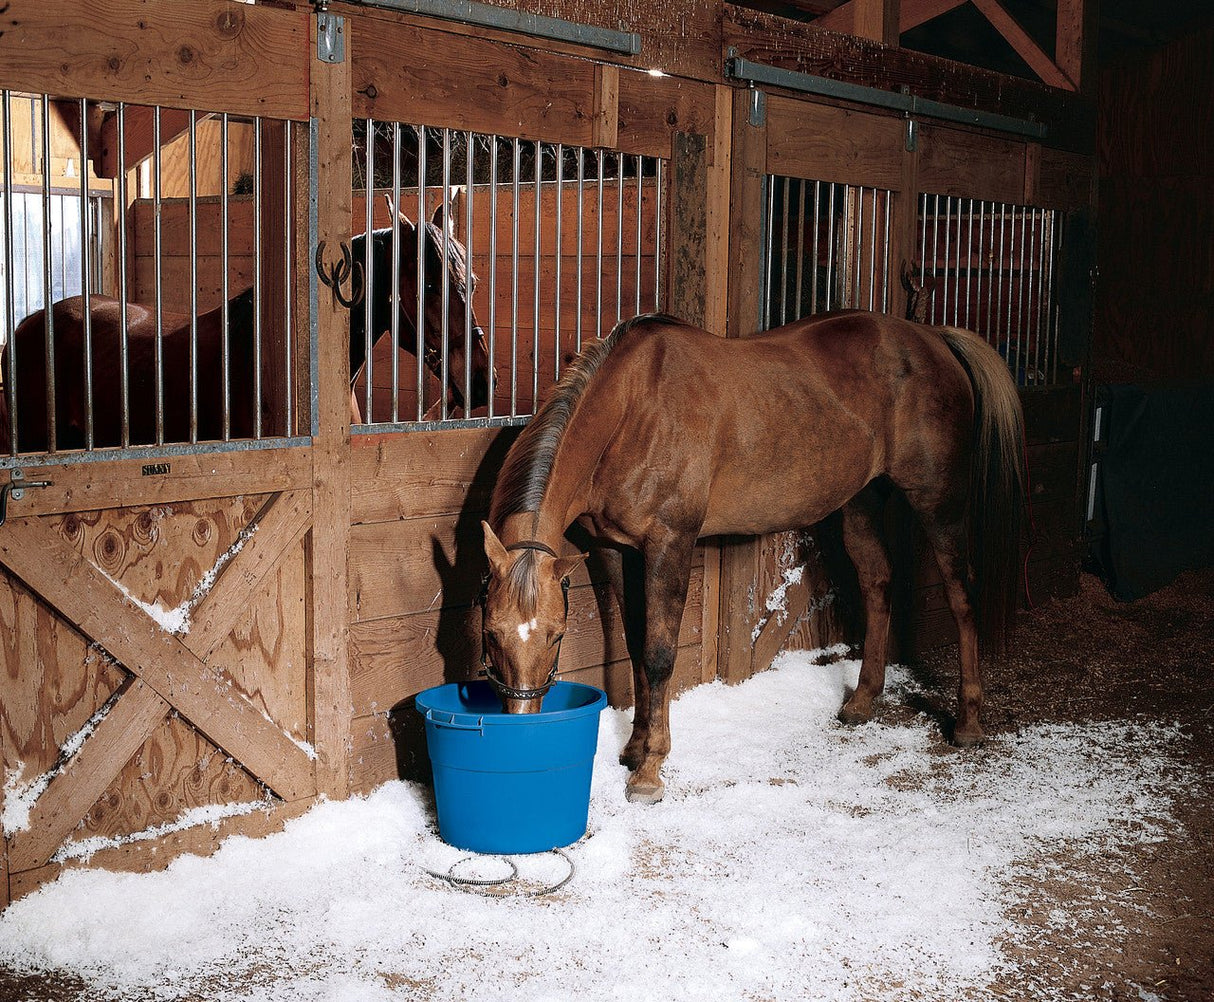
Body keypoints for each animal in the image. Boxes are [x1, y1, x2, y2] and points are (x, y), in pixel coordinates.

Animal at [479, 310, 1026, 804]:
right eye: (491, 634)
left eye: (556, 635)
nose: (520, 727)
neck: (631, 411)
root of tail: (933, 336)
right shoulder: (615, 549)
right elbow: (636, 645)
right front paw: (634, 748)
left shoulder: (670, 544)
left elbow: (659, 655)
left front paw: (650, 770)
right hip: (861, 502)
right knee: (878, 584)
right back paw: (862, 700)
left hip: (939, 502)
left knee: (961, 595)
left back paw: (969, 723)